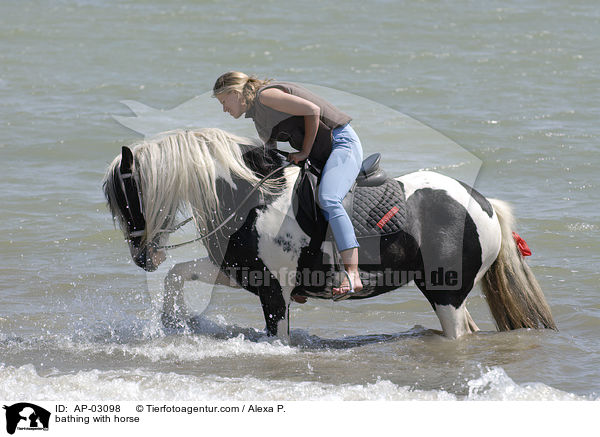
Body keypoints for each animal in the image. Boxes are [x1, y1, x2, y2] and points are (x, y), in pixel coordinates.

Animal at [103, 127, 556, 338]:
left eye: (126, 194)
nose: (142, 258)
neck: (255, 198)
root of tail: (485, 205)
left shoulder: (275, 292)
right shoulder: (240, 272)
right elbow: (178, 276)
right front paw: (174, 323)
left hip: (446, 293)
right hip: (444, 293)